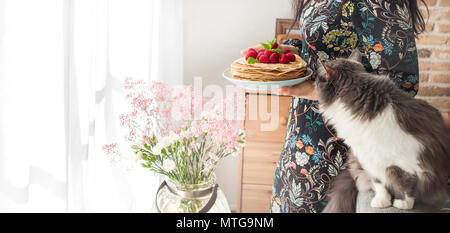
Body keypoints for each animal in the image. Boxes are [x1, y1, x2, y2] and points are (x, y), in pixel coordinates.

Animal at [316, 50, 450, 212]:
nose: (314, 81)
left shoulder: (404, 161)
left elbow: (403, 183)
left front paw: (403, 203)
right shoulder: (369, 160)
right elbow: (379, 184)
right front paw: (382, 201)